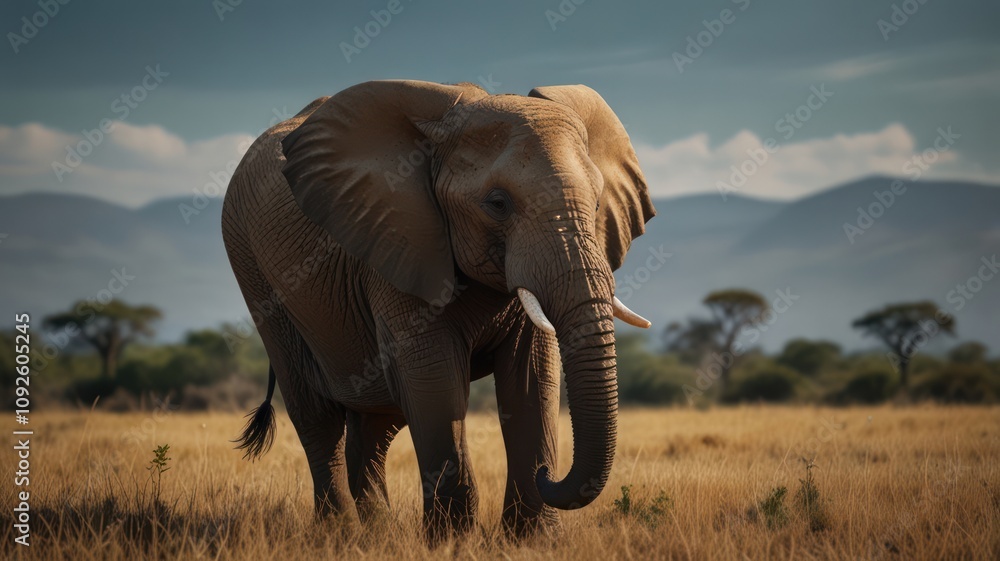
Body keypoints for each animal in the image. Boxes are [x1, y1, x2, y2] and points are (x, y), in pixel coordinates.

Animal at [222, 79, 656, 539]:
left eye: (597, 204)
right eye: (497, 203)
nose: (547, 475)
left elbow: (532, 377)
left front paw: (534, 540)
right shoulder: (400, 240)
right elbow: (434, 381)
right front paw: (452, 542)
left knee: (377, 421)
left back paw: (378, 532)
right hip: (251, 265)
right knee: (316, 416)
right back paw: (340, 533)